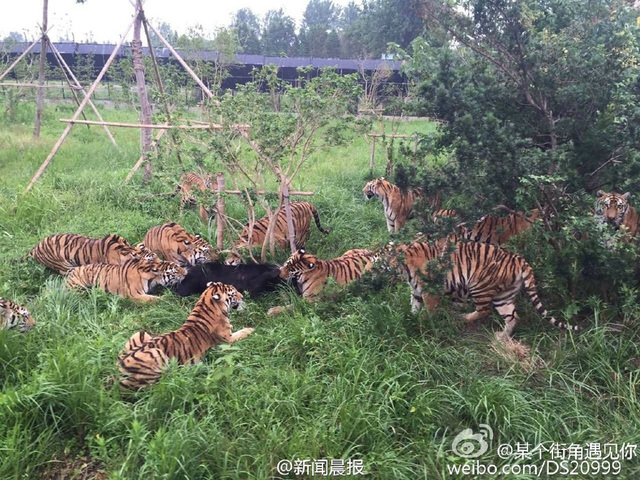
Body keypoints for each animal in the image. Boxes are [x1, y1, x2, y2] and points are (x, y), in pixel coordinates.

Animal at [117, 282, 252, 390]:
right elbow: (241, 333)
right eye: (233, 293)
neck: (206, 303)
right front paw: (251, 329)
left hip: (140, 333)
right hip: (156, 354)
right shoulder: (228, 340)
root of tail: (119, 366)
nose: (243, 296)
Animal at [384, 238, 580, 340]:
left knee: (484, 310)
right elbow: (414, 306)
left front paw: (423, 322)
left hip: (479, 285)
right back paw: (502, 336)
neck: (405, 266)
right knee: (513, 316)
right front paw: (411, 317)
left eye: (382, 257)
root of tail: (520, 260)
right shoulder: (416, 291)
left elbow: (429, 311)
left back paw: (462, 317)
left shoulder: (431, 291)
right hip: (504, 296)